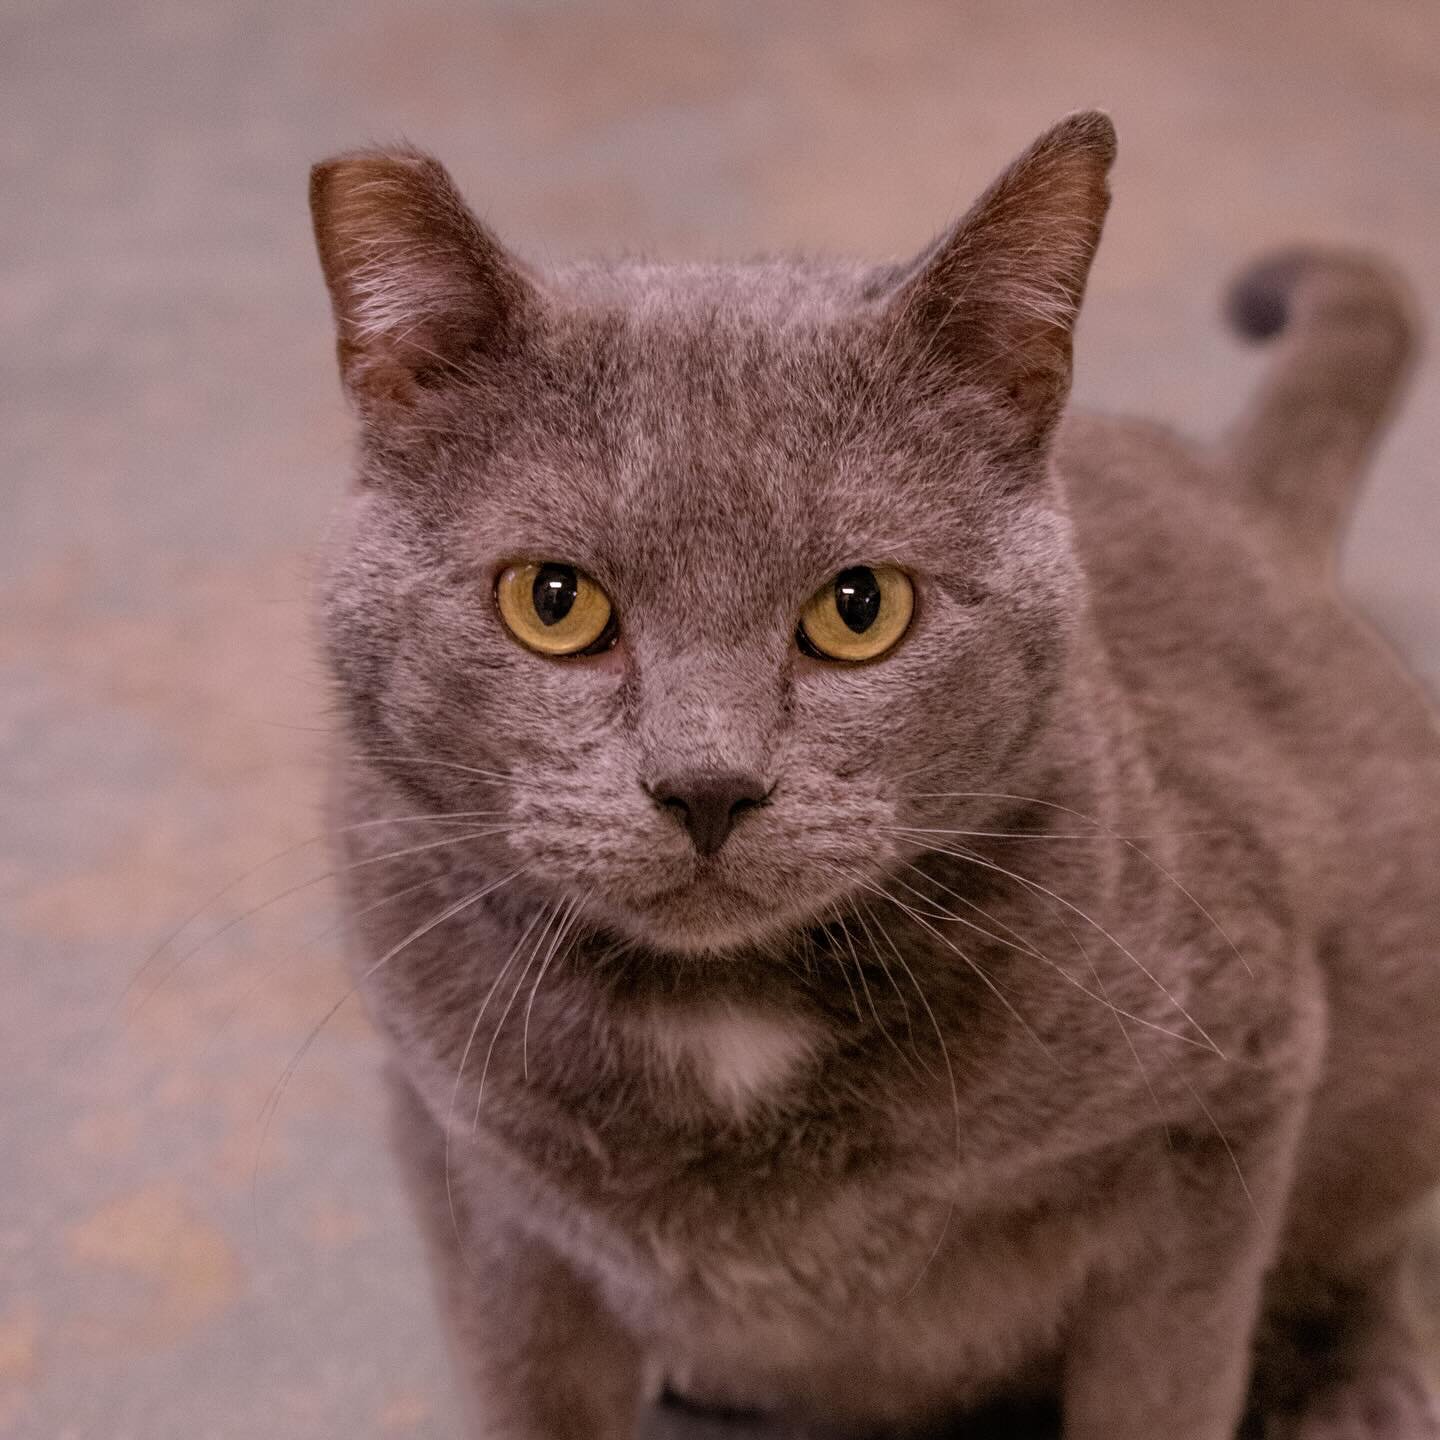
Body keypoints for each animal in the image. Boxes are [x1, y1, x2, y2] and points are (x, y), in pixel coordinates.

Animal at [306, 115, 1440, 1440]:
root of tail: (1241, 492)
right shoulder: (472, 1179)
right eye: (552, 601)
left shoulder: (1227, 1101)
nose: (707, 784)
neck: (724, 1023)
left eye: (861, 607)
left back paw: (1354, 1385)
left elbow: (1166, 1385)